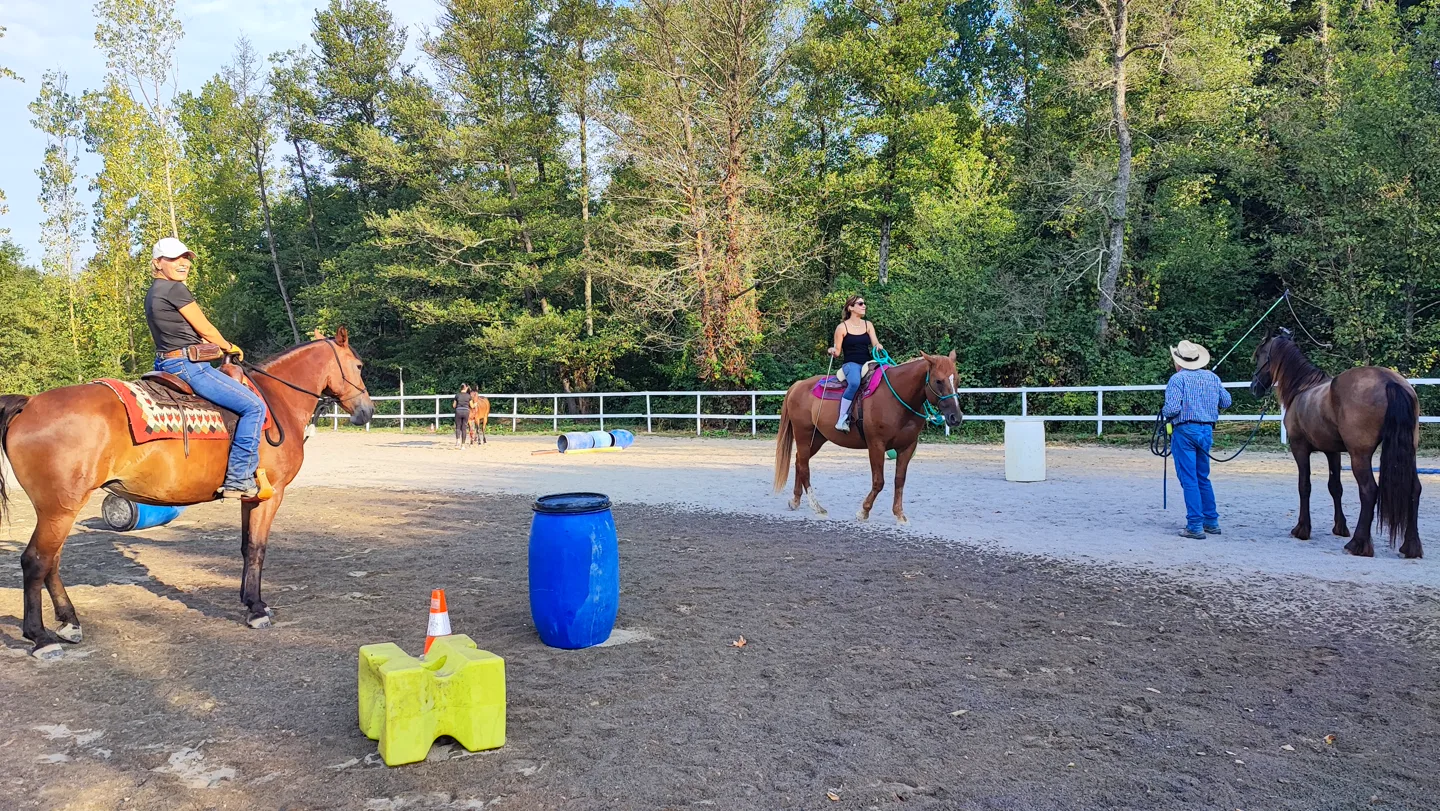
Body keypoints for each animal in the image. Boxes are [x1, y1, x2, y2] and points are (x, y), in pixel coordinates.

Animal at [0, 328, 375, 659]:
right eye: (358, 366)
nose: (367, 411)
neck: (275, 401)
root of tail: (29, 404)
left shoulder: (251, 496)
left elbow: (245, 547)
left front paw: (249, 600)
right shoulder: (271, 495)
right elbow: (257, 548)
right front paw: (256, 609)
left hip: (59, 508)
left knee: (52, 562)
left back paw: (70, 623)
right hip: (59, 508)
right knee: (36, 561)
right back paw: (41, 638)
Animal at [773, 352, 963, 524]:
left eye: (957, 380)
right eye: (938, 381)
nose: (956, 417)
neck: (897, 398)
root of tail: (798, 385)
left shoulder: (907, 447)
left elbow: (899, 480)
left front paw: (899, 514)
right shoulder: (876, 445)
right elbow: (879, 481)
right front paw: (864, 511)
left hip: (817, 438)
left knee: (799, 462)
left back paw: (795, 500)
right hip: (804, 435)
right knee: (804, 467)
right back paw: (817, 507)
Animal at [1250, 331, 1422, 558]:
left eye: (1260, 355)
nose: (1254, 387)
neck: (1302, 388)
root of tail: (1390, 382)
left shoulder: (1299, 447)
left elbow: (1304, 486)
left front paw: (1302, 529)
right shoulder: (1333, 452)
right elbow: (1335, 487)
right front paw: (1340, 527)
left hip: (1360, 455)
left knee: (1369, 491)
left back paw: (1358, 544)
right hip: (1409, 452)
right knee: (1414, 489)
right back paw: (1411, 546)